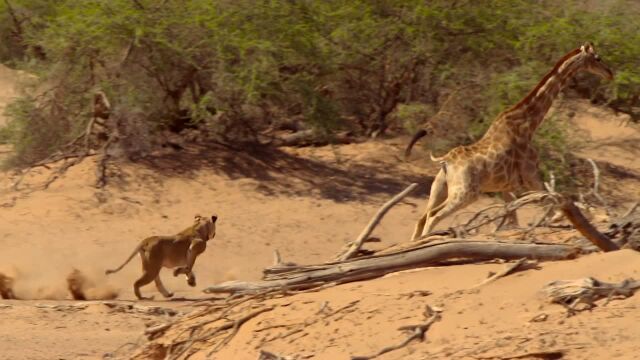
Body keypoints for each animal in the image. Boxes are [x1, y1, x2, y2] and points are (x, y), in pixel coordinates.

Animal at [408, 41, 612, 242]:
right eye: (597, 58)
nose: (610, 73)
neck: (528, 125)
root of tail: (445, 161)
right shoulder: (530, 175)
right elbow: (552, 199)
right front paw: (557, 218)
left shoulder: (506, 187)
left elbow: (513, 217)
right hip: (465, 193)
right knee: (434, 216)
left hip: (439, 189)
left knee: (422, 218)